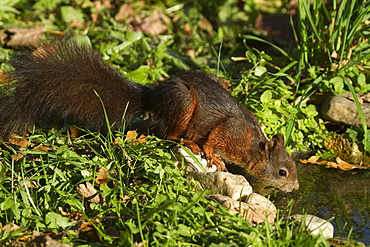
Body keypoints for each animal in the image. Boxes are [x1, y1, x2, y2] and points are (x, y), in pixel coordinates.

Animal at [0, 38, 298, 192]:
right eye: (282, 172)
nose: (294, 188)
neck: (252, 145)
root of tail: (154, 96)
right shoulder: (231, 130)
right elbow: (215, 139)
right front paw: (213, 156)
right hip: (184, 104)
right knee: (169, 134)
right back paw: (188, 142)